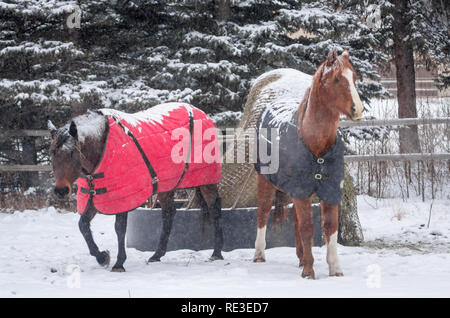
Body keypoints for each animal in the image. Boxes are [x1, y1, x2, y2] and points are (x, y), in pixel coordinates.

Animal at [49, 105, 223, 274]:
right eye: (53, 153)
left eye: (72, 153)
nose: (61, 190)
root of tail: (201, 113)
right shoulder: (97, 197)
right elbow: (83, 225)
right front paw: (102, 257)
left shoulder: (123, 198)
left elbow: (119, 229)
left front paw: (119, 263)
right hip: (166, 187)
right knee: (169, 214)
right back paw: (157, 255)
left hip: (207, 182)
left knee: (214, 209)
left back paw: (217, 253)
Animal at [251, 49, 364, 278]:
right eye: (336, 78)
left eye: (354, 77)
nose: (357, 109)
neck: (316, 146)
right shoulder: (302, 191)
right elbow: (307, 227)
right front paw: (309, 271)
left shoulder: (329, 191)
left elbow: (330, 228)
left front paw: (334, 268)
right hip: (265, 181)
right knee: (263, 213)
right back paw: (259, 255)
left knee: (295, 220)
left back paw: (301, 258)